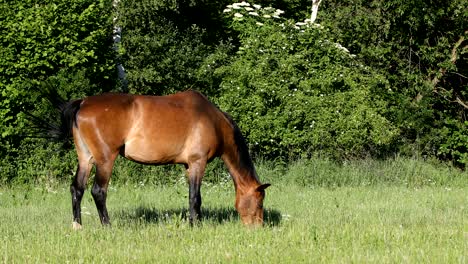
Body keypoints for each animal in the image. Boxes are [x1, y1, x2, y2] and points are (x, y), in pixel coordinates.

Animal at [49, 89, 268, 228]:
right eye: (259, 203)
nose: (258, 227)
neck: (213, 121)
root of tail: (83, 102)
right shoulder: (198, 162)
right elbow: (195, 197)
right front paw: (195, 225)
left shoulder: (188, 166)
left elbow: (192, 197)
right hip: (105, 160)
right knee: (98, 191)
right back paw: (107, 226)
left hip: (85, 158)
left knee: (77, 189)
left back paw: (77, 225)